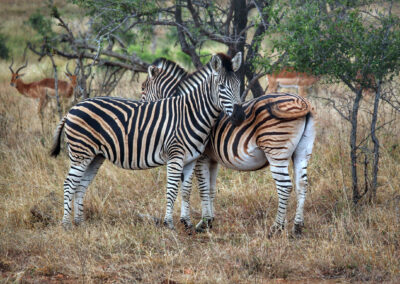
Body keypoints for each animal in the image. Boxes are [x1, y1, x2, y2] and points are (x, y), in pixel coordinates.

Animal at [50, 53, 244, 230]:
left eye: (239, 85)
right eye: (221, 87)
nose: (239, 116)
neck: (191, 113)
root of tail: (72, 109)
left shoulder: (191, 159)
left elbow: (186, 190)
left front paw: (187, 223)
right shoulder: (175, 156)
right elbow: (172, 189)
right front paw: (169, 224)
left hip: (94, 156)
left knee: (81, 185)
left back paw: (79, 223)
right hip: (80, 153)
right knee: (69, 184)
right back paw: (66, 224)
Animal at [141, 58, 316, 235]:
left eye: (143, 88)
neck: (190, 111)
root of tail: (302, 102)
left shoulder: (200, 157)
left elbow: (202, 188)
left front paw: (203, 223)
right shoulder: (212, 160)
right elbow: (211, 188)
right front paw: (209, 221)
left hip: (276, 150)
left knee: (285, 186)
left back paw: (276, 228)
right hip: (302, 151)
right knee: (302, 184)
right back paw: (297, 227)